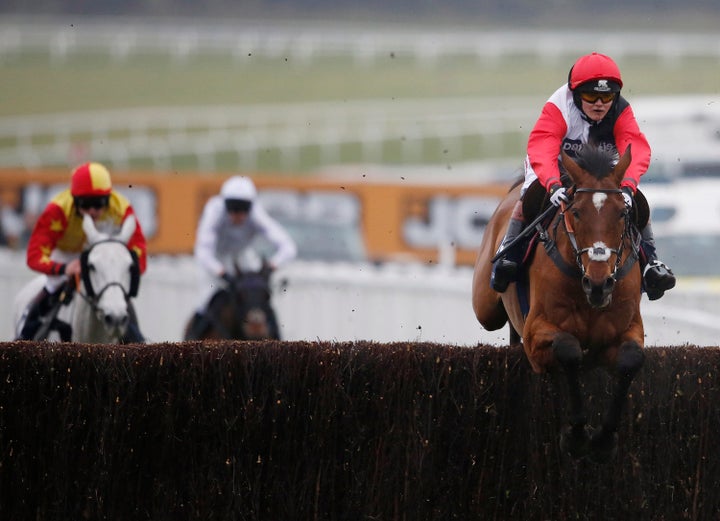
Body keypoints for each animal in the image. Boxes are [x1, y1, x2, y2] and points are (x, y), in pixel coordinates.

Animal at [472, 145, 648, 460]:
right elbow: (569, 349)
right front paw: (576, 436)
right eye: (576, 212)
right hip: (485, 306)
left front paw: (604, 439)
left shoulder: (627, 328)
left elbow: (631, 358)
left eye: (621, 212)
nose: (600, 283)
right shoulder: (535, 337)